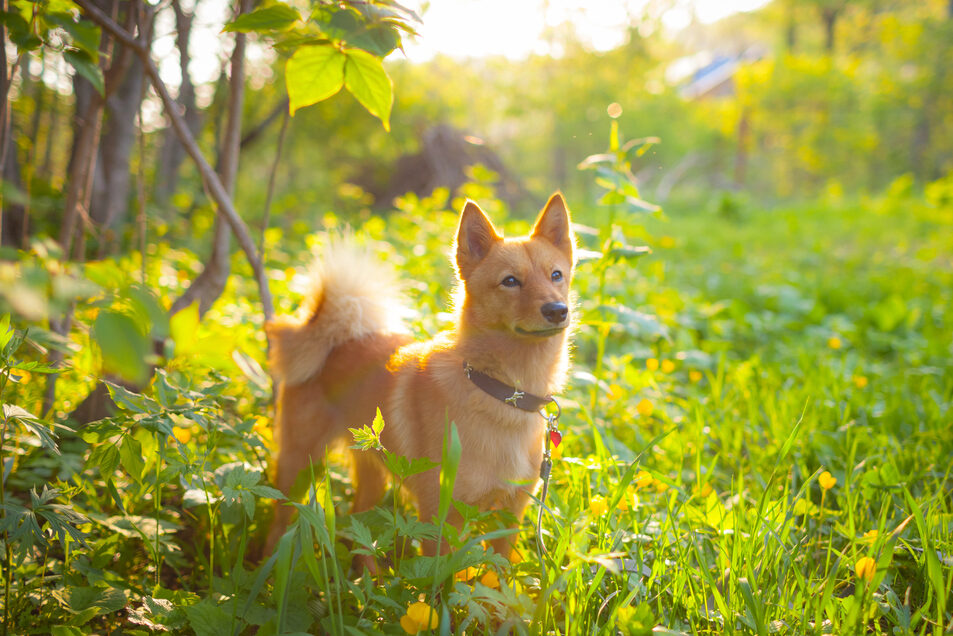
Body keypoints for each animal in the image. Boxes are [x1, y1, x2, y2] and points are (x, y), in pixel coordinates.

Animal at [262, 194, 572, 560]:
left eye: (556, 275)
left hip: (372, 470)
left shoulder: (509, 517)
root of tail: (336, 336)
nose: (557, 310)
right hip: (298, 466)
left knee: (360, 526)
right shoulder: (440, 520)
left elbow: (495, 573)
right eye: (510, 281)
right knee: (280, 520)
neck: (501, 391)